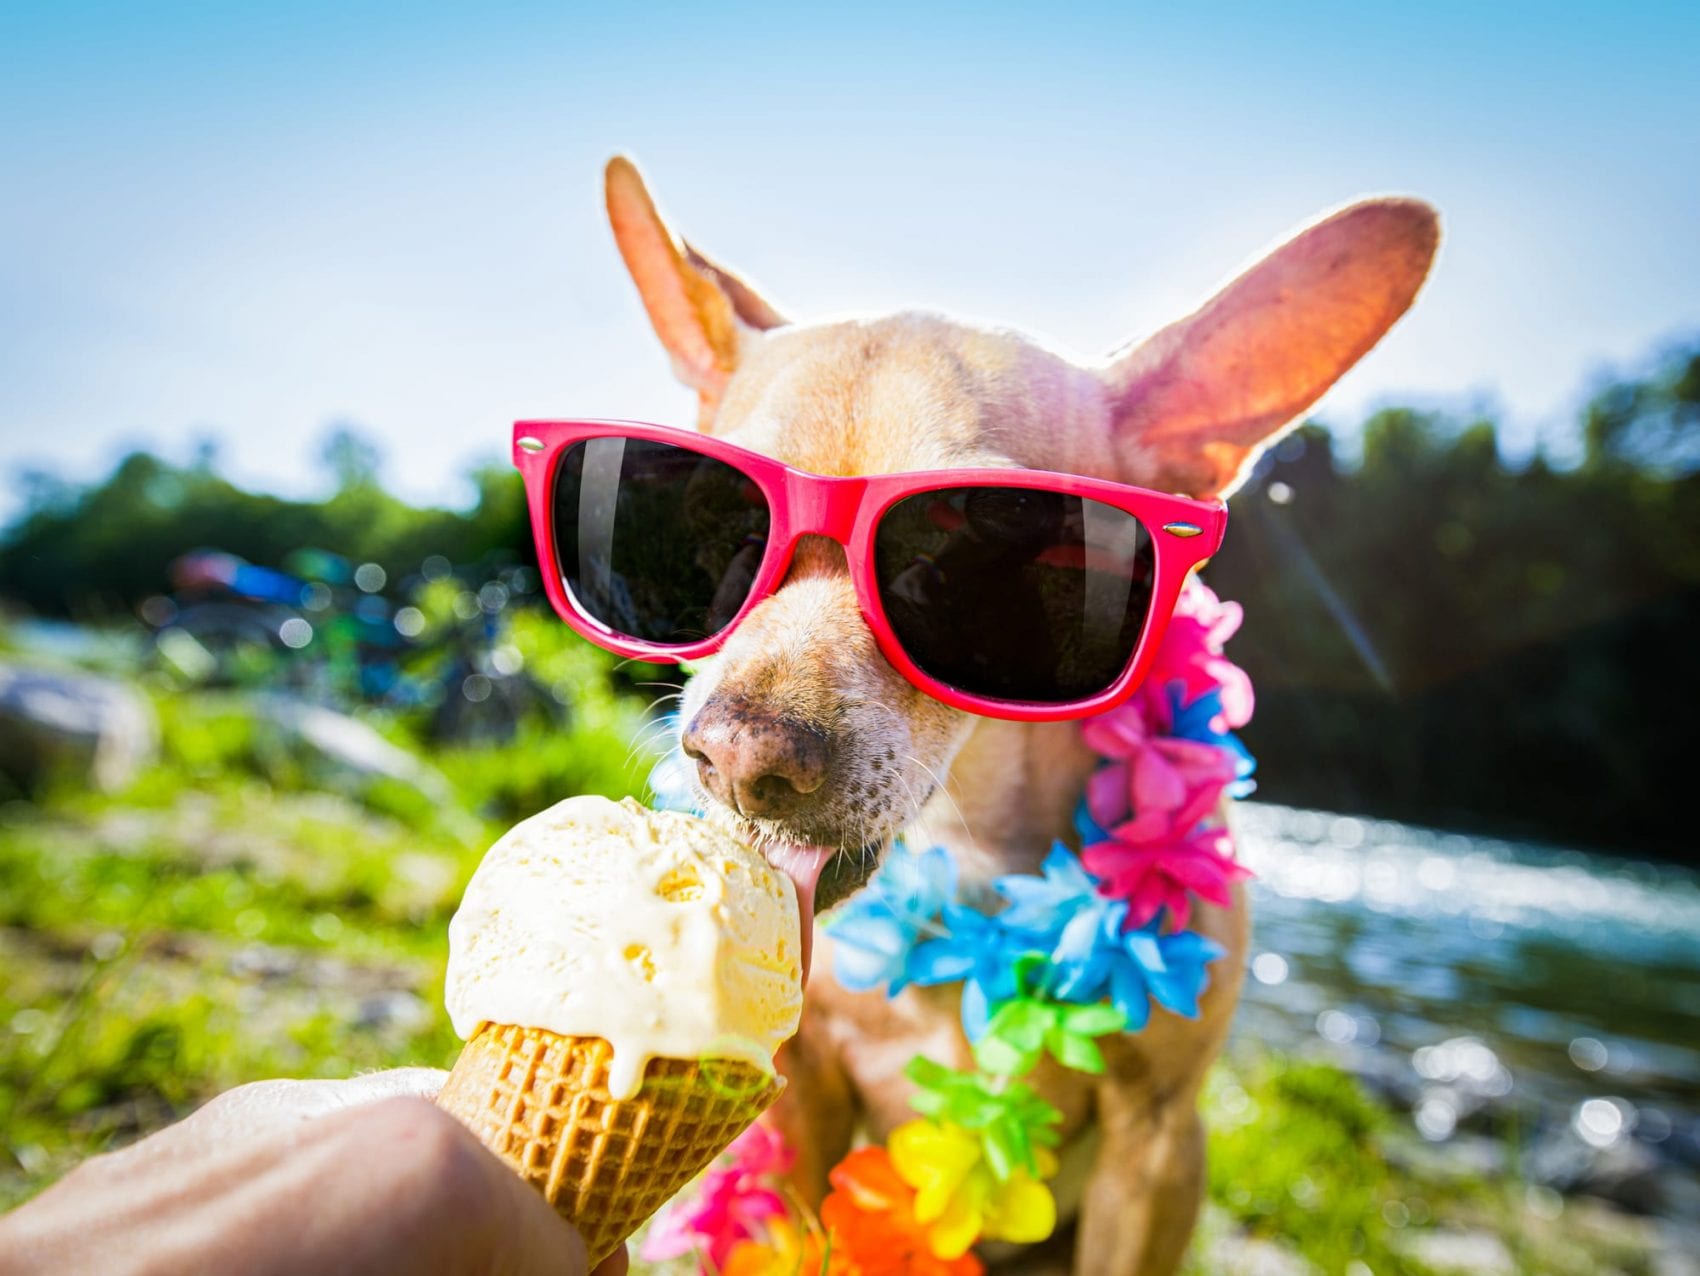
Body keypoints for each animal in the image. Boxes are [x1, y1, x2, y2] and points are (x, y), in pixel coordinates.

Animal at [598, 159, 1434, 1276]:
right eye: (714, 519)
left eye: (967, 544)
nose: (735, 756)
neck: (969, 849)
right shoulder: (800, 1094)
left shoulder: (1154, 1146)